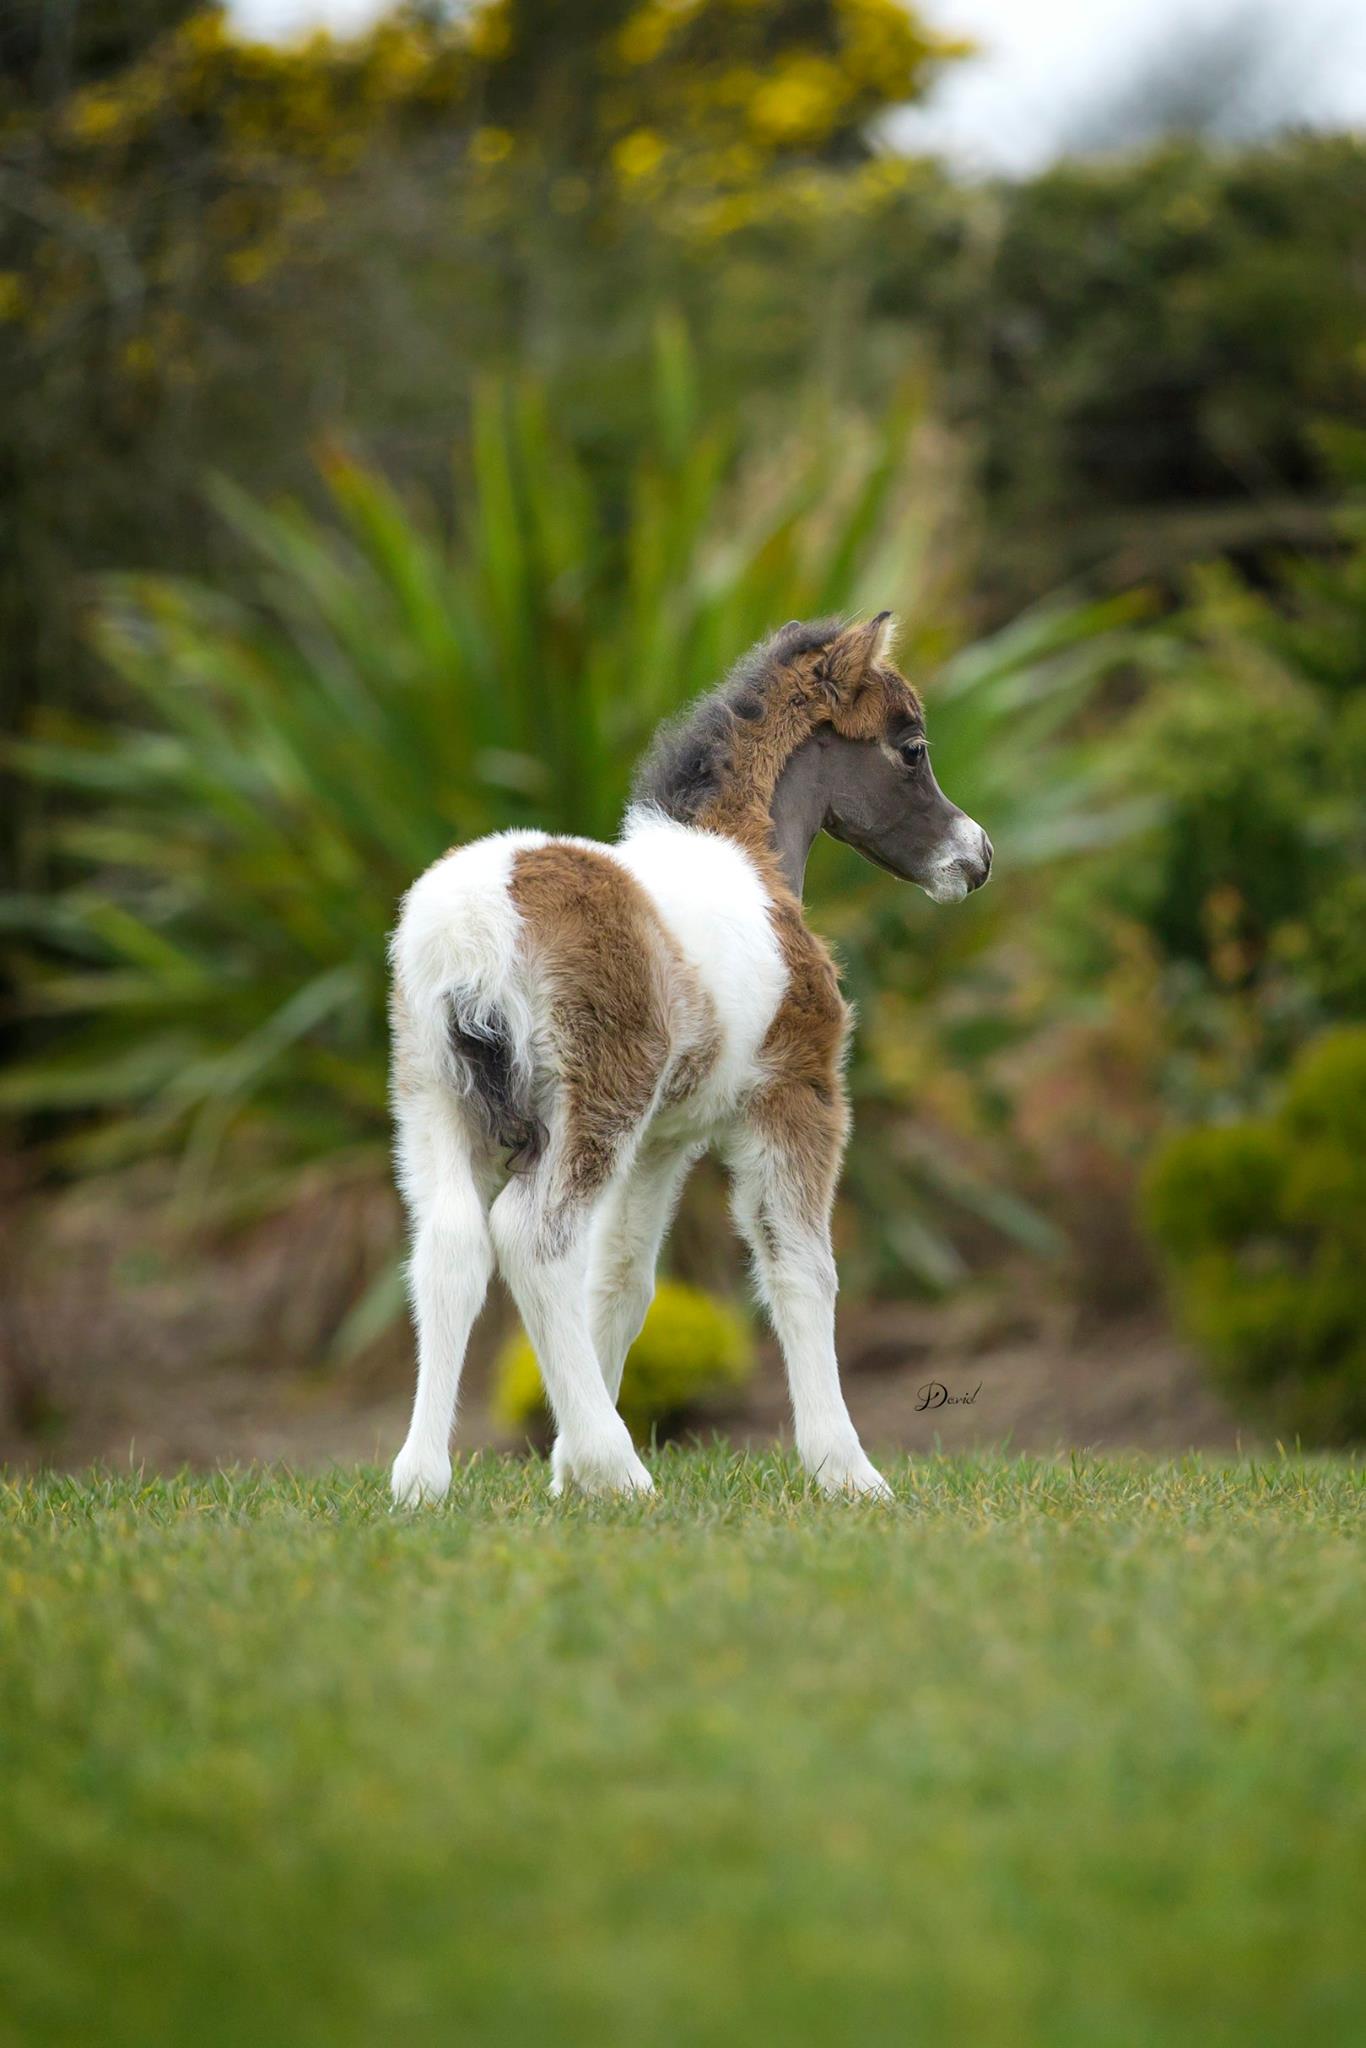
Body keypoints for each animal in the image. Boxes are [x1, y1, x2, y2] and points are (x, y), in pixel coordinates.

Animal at [388, 613, 991, 1505]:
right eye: (911, 747)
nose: (976, 858)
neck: (746, 852)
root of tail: (475, 932)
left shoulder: (663, 1142)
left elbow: (624, 1278)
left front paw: (565, 1474)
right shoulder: (796, 1094)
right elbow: (801, 1267)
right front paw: (847, 1472)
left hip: (432, 1096)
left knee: (453, 1246)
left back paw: (422, 1480)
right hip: (596, 1101)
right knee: (533, 1240)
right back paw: (624, 1469)